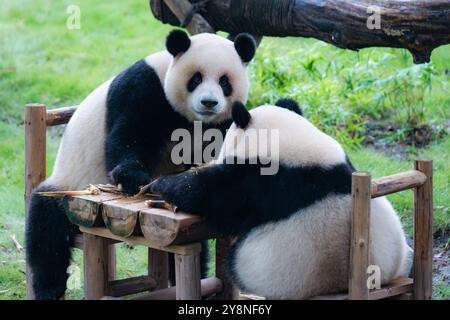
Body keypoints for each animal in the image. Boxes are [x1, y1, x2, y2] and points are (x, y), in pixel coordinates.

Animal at [25, 30, 256, 300]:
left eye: (224, 82)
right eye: (196, 78)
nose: (209, 103)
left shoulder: (221, 122)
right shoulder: (145, 88)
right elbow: (128, 135)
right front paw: (132, 178)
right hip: (69, 185)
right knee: (46, 228)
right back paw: (48, 288)